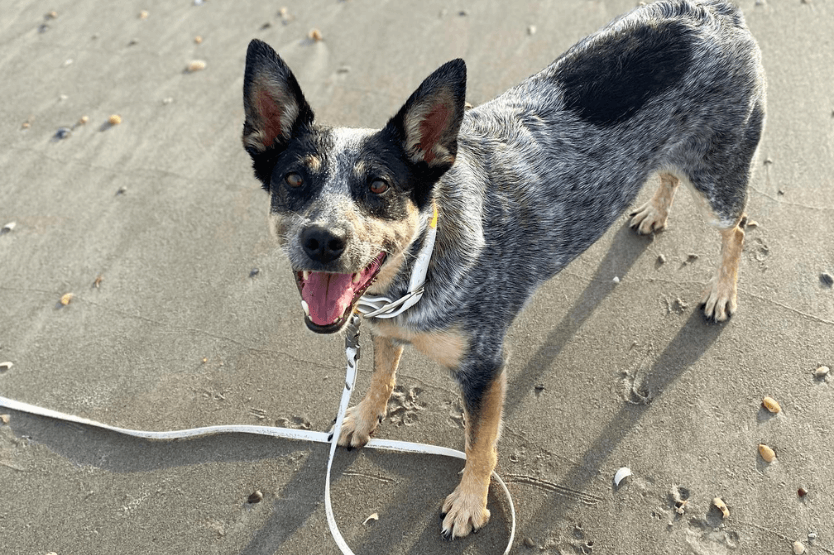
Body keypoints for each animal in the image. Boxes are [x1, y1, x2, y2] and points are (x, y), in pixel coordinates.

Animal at [239, 0, 760, 540]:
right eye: (294, 179)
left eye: (379, 186)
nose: (323, 239)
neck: (419, 267)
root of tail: (714, 9)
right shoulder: (384, 325)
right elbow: (382, 375)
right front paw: (363, 418)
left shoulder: (484, 368)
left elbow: (480, 444)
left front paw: (471, 501)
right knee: (666, 172)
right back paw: (656, 211)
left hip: (719, 170)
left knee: (737, 228)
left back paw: (722, 291)